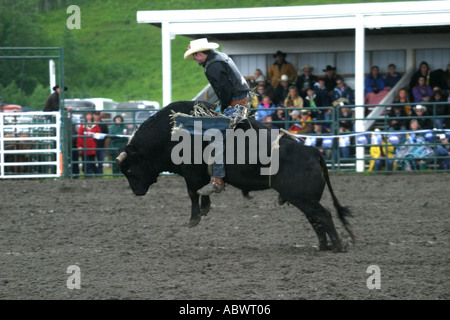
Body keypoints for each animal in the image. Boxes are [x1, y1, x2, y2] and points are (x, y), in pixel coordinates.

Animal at [116, 101, 356, 251]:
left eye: (129, 170)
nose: (137, 192)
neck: (172, 132)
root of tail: (312, 151)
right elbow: (203, 191)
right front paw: (205, 207)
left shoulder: (191, 172)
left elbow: (193, 193)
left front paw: (194, 218)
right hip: (303, 198)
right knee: (315, 219)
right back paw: (323, 246)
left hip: (303, 197)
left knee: (323, 216)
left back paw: (337, 247)